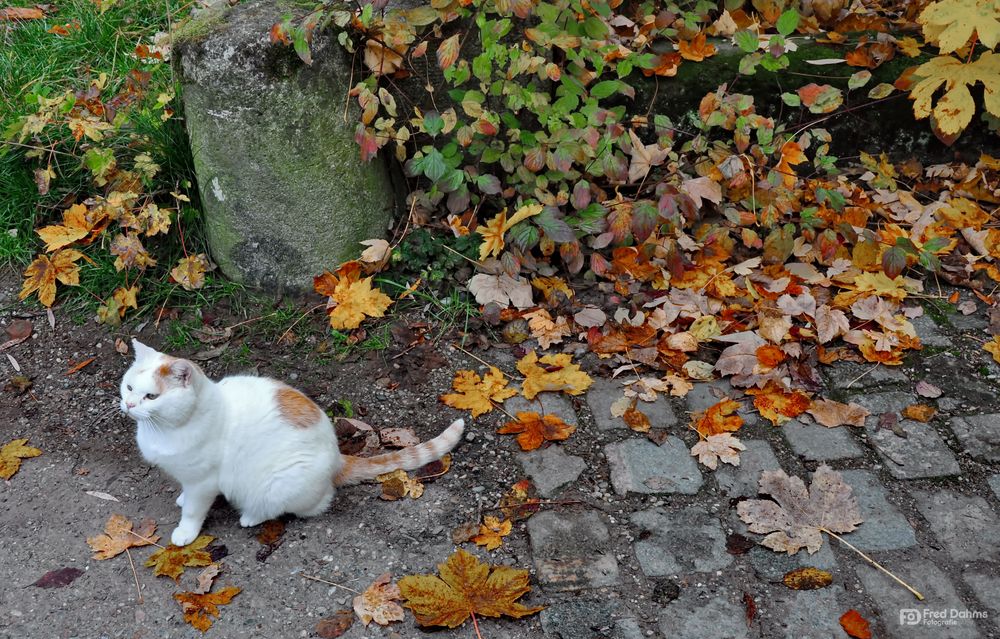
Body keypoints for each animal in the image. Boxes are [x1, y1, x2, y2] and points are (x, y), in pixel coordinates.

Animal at [119, 340, 462, 544]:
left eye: (152, 397)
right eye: (129, 387)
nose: (129, 405)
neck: (162, 430)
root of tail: (337, 456)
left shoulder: (203, 482)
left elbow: (193, 510)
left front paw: (185, 532)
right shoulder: (187, 477)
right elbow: (185, 494)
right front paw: (180, 499)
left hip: (278, 483)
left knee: (312, 505)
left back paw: (251, 516)